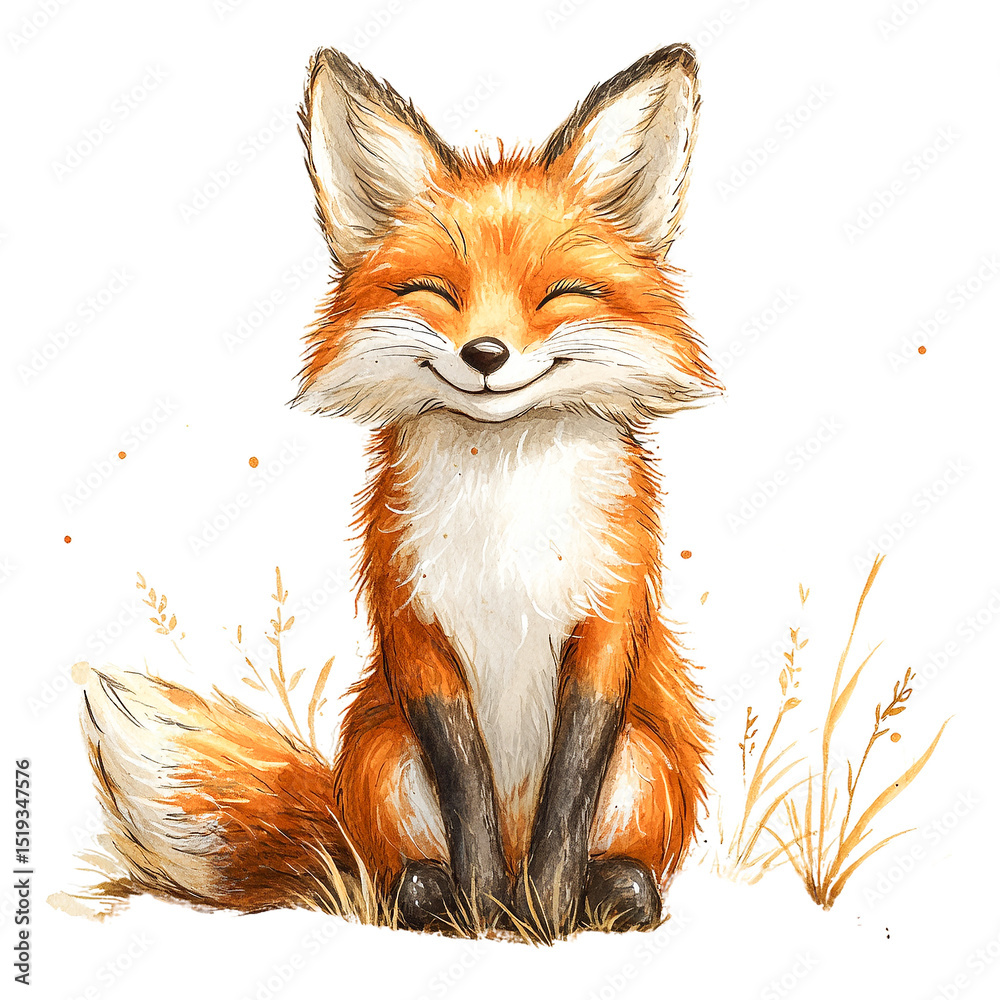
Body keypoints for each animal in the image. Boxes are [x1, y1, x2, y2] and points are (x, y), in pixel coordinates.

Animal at [80, 43, 720, 936]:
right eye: (434, 292)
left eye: (558, 296)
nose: (486, 354)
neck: (504, 508)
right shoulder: (415, 623)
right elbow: (465, 787)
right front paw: (486, 912)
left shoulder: (607, 620)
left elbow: (568, 792)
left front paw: (545, 913)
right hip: (384, 761)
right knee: (396, 867)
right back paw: (435, 898)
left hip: (645, 759)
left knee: (611, 845)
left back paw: (609, 893)